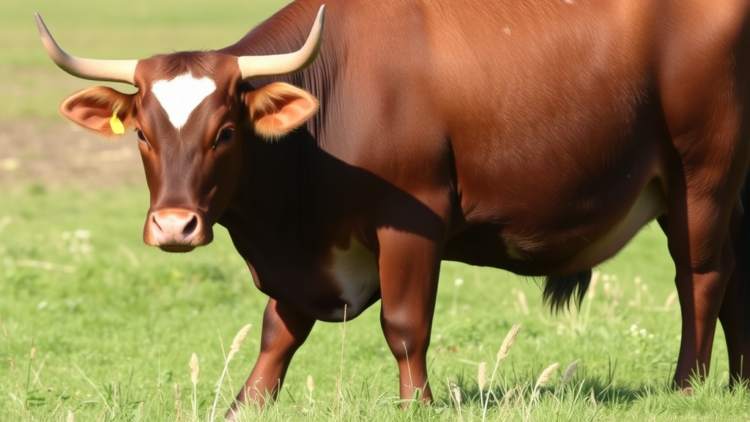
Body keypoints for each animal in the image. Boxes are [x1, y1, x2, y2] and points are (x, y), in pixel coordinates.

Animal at [36, 0, 750, 417]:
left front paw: (416, 403)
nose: (174, 226)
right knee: (736, 283)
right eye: (142, 133)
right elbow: (278, 331)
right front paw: (246, 401)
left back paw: (688, 385)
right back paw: (738, 383)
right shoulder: (305, 260)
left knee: (702, 278)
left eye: (226, 132)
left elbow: (405, 324)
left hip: (702, 177)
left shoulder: (414, 221)